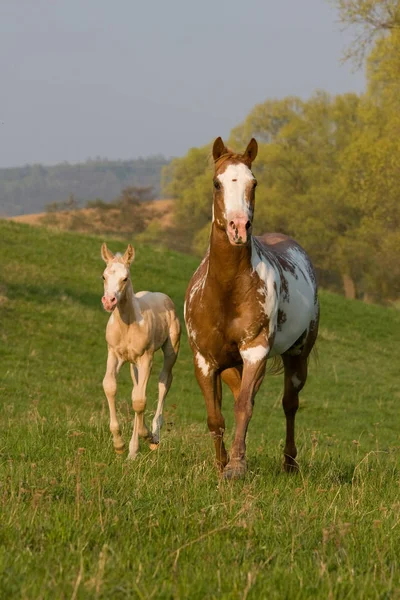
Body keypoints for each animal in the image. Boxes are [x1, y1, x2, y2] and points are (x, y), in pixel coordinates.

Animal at [101, 244, 180, 460]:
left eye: (125, 278)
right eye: (104, 276)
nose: (109, 301)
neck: (127, 325)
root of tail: (163, 296)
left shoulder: (146, 358)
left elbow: (139, 401)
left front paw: (143, 440)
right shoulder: (114, 354)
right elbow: (110, 387)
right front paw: (119, 445)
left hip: (170, 350)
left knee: (164, 382)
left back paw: (154, 436)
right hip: (133, 364)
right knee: (137, 388)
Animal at [184, 138, 318, 480]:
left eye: (253, 182)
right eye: (217, 183)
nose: (239, 227)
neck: (225, 293)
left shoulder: (255, 351)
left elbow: (244, 407)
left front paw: (236, 467)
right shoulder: (205, 360)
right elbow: (215, 415)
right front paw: (221, 464)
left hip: (297, 356)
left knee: (289, 404)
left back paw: (289, 463)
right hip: (233, 366)